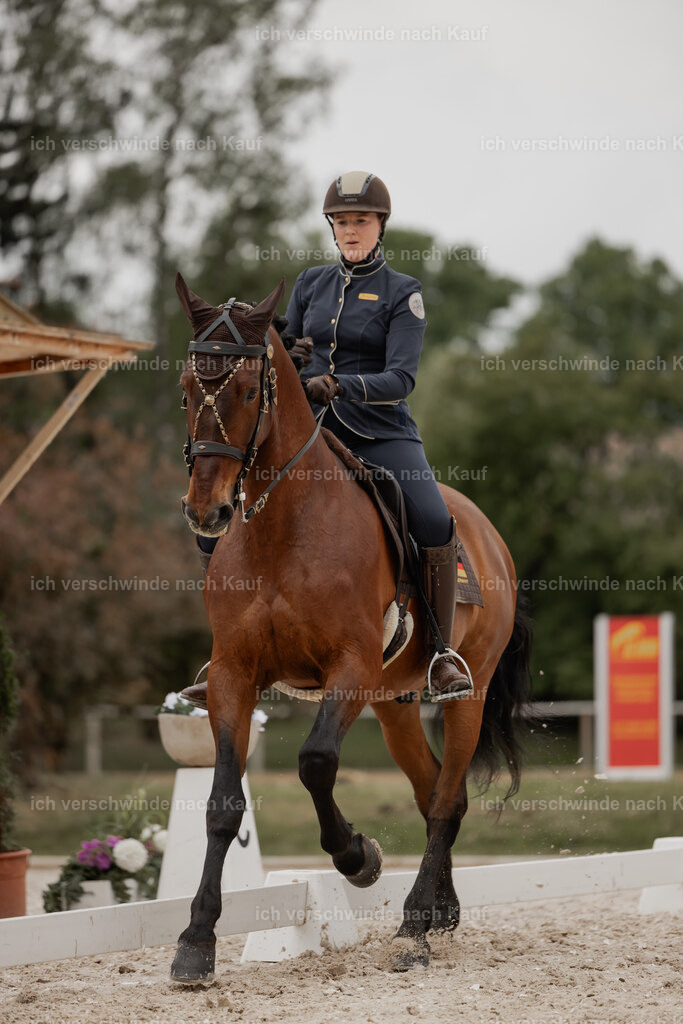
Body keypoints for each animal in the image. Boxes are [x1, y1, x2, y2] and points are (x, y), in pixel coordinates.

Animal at [171, 273, 531, 982]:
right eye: (187, 387)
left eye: (248, 391)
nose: (208, 511)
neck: (281, 528)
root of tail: (487, 533)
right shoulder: (234, 675)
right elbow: (223, 803)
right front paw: (196, 940)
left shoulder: (350, 667)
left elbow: (315, 762)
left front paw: (357, 857)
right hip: (394, 704)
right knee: (430, 791)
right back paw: (439, 911)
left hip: (463, 694)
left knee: (446, 799)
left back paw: (414, 928)